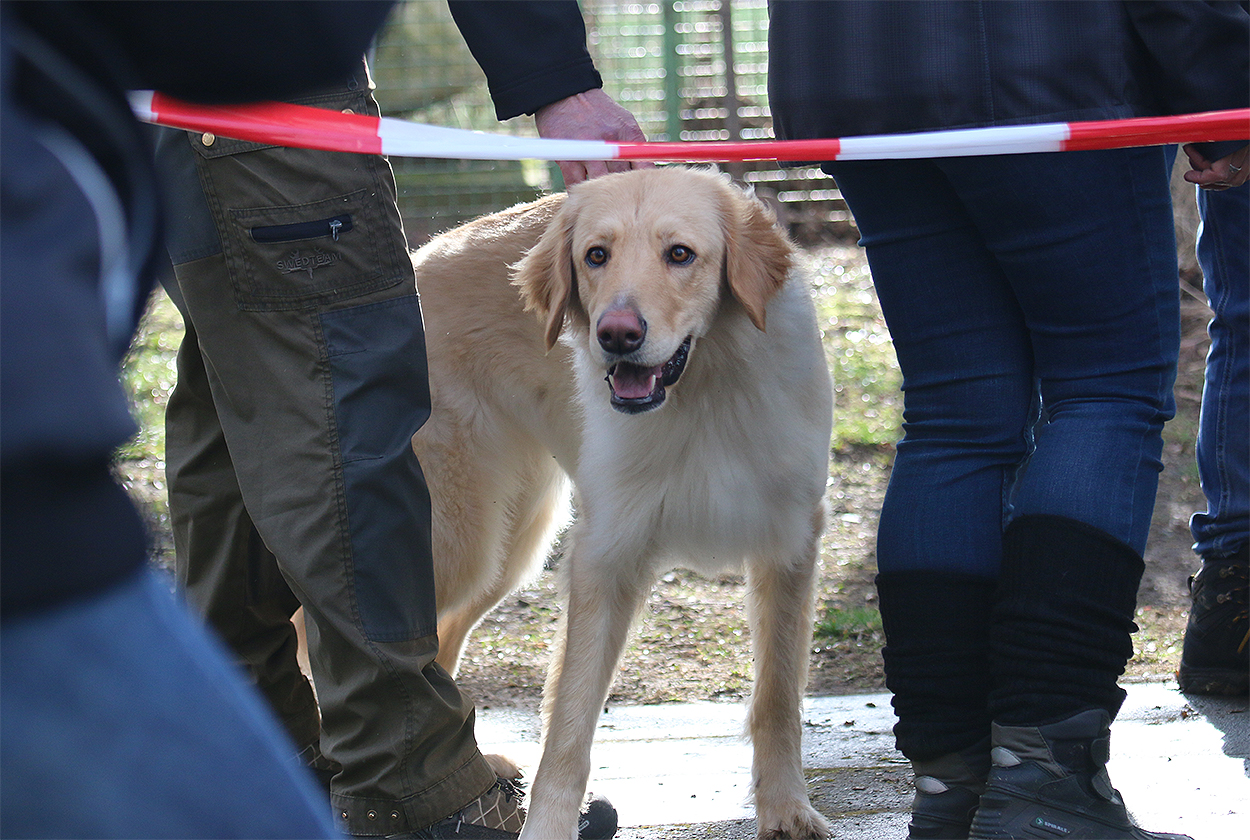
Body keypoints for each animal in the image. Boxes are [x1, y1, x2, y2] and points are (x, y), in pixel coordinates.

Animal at [410, 166, 834, 840]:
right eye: (595, 256)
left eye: (680, 255)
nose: (616, 336)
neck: (704, 393)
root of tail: (416, 259)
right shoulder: (605, 559)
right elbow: (569, 725)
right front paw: (549, 826)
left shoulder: (789, 544)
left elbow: (778, 699)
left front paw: (786, 808)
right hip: (459, 539)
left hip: (506, 548)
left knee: (438, 641)